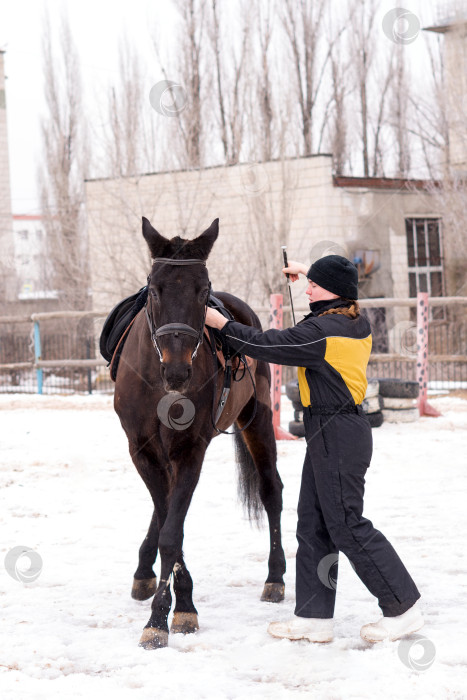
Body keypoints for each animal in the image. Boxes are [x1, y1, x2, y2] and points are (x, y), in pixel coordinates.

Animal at [115, 216, 288, 648]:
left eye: (203, 290)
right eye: (154, 289)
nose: (177, 369)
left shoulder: (190, 450)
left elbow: (171, 533)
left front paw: (167, 617)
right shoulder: (142, 451)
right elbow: (167, 524)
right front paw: (174, 605)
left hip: (257, 420)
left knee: (271, 491)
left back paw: (275, 578)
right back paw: (143, 573)